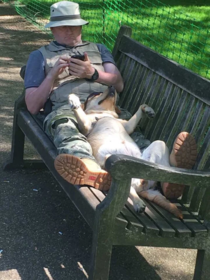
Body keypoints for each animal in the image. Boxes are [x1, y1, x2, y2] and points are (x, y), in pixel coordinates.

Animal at [55, 85, 198, 219]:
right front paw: (73, 99)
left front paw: (148, 110)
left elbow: (139, 110)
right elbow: (78, 108)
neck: (103, 114)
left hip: (158, 145)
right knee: (128, 189)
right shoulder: (85, 125)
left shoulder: (127, 126)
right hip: (112, 165)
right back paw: (139, 202)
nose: (112, 86)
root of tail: (143, 188)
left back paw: (171, 182)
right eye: (95, 94)